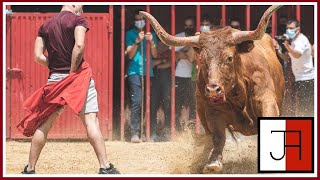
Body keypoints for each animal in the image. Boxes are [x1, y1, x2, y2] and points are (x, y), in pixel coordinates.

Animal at [140, 4, 284, 172]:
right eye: (202, 60)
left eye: (229, 58)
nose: (213, 90)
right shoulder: (213, 112)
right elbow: (218, 137)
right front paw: (213, 163)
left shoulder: (265, 99)